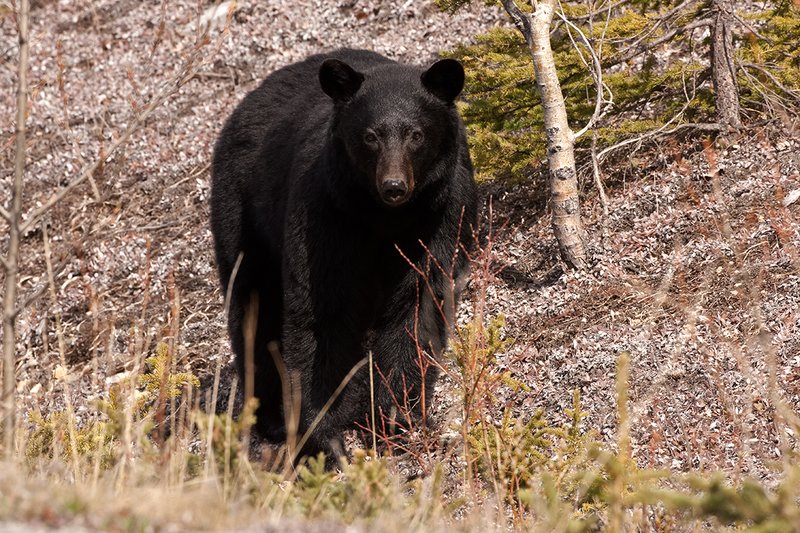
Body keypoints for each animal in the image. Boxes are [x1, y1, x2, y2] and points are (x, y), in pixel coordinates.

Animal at [210, 48, 477, 462]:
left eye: (416, 135)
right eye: (370, 136)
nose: (394, 185)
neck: (385, 218)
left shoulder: (442, 212)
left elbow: (419, 305)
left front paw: (394, 417)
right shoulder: (326, 213)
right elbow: (320, 313)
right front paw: (323, 435)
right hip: (243, 211)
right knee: (253, 308)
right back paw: (270, 417)